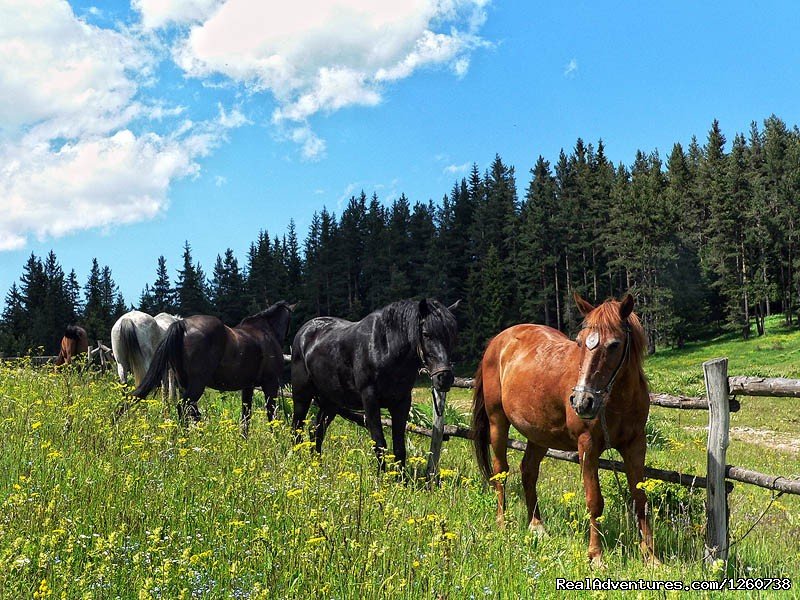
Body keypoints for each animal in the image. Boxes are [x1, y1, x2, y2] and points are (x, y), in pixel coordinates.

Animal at [133, 300, 296, 436]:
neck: (265, 331)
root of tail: (183, 325)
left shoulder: (248, 387)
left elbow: (246, 415)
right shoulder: (270, 384)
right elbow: (271, 413)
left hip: (184, 384)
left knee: (191, 410)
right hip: (197, 384)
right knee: (184, 408)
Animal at [292, 298, 456, 468]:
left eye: (451, 335)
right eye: (426, 334)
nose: (444, 378)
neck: (385, 349)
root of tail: (304, 332)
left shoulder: (402, 403)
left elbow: (399, 448)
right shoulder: (370, 400)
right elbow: (380, 445)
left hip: (331, 402)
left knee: (316, 430)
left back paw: (316, 465)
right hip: (301, 395)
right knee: (297, 428)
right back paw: (298, 461)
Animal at [476, 296, 656, 568]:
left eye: (614, 344)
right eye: (580, 342)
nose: (582, 402)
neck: (615, 400)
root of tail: (497, 342)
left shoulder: (635, 445)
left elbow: (640, 498)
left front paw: (652, 558)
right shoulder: (587, 447)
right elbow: (594, 501)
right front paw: (596, 556)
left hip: (538, 435)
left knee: (528, 472)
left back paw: (537, 526)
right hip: (498, 422)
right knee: (501, 472)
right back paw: (502, 523)